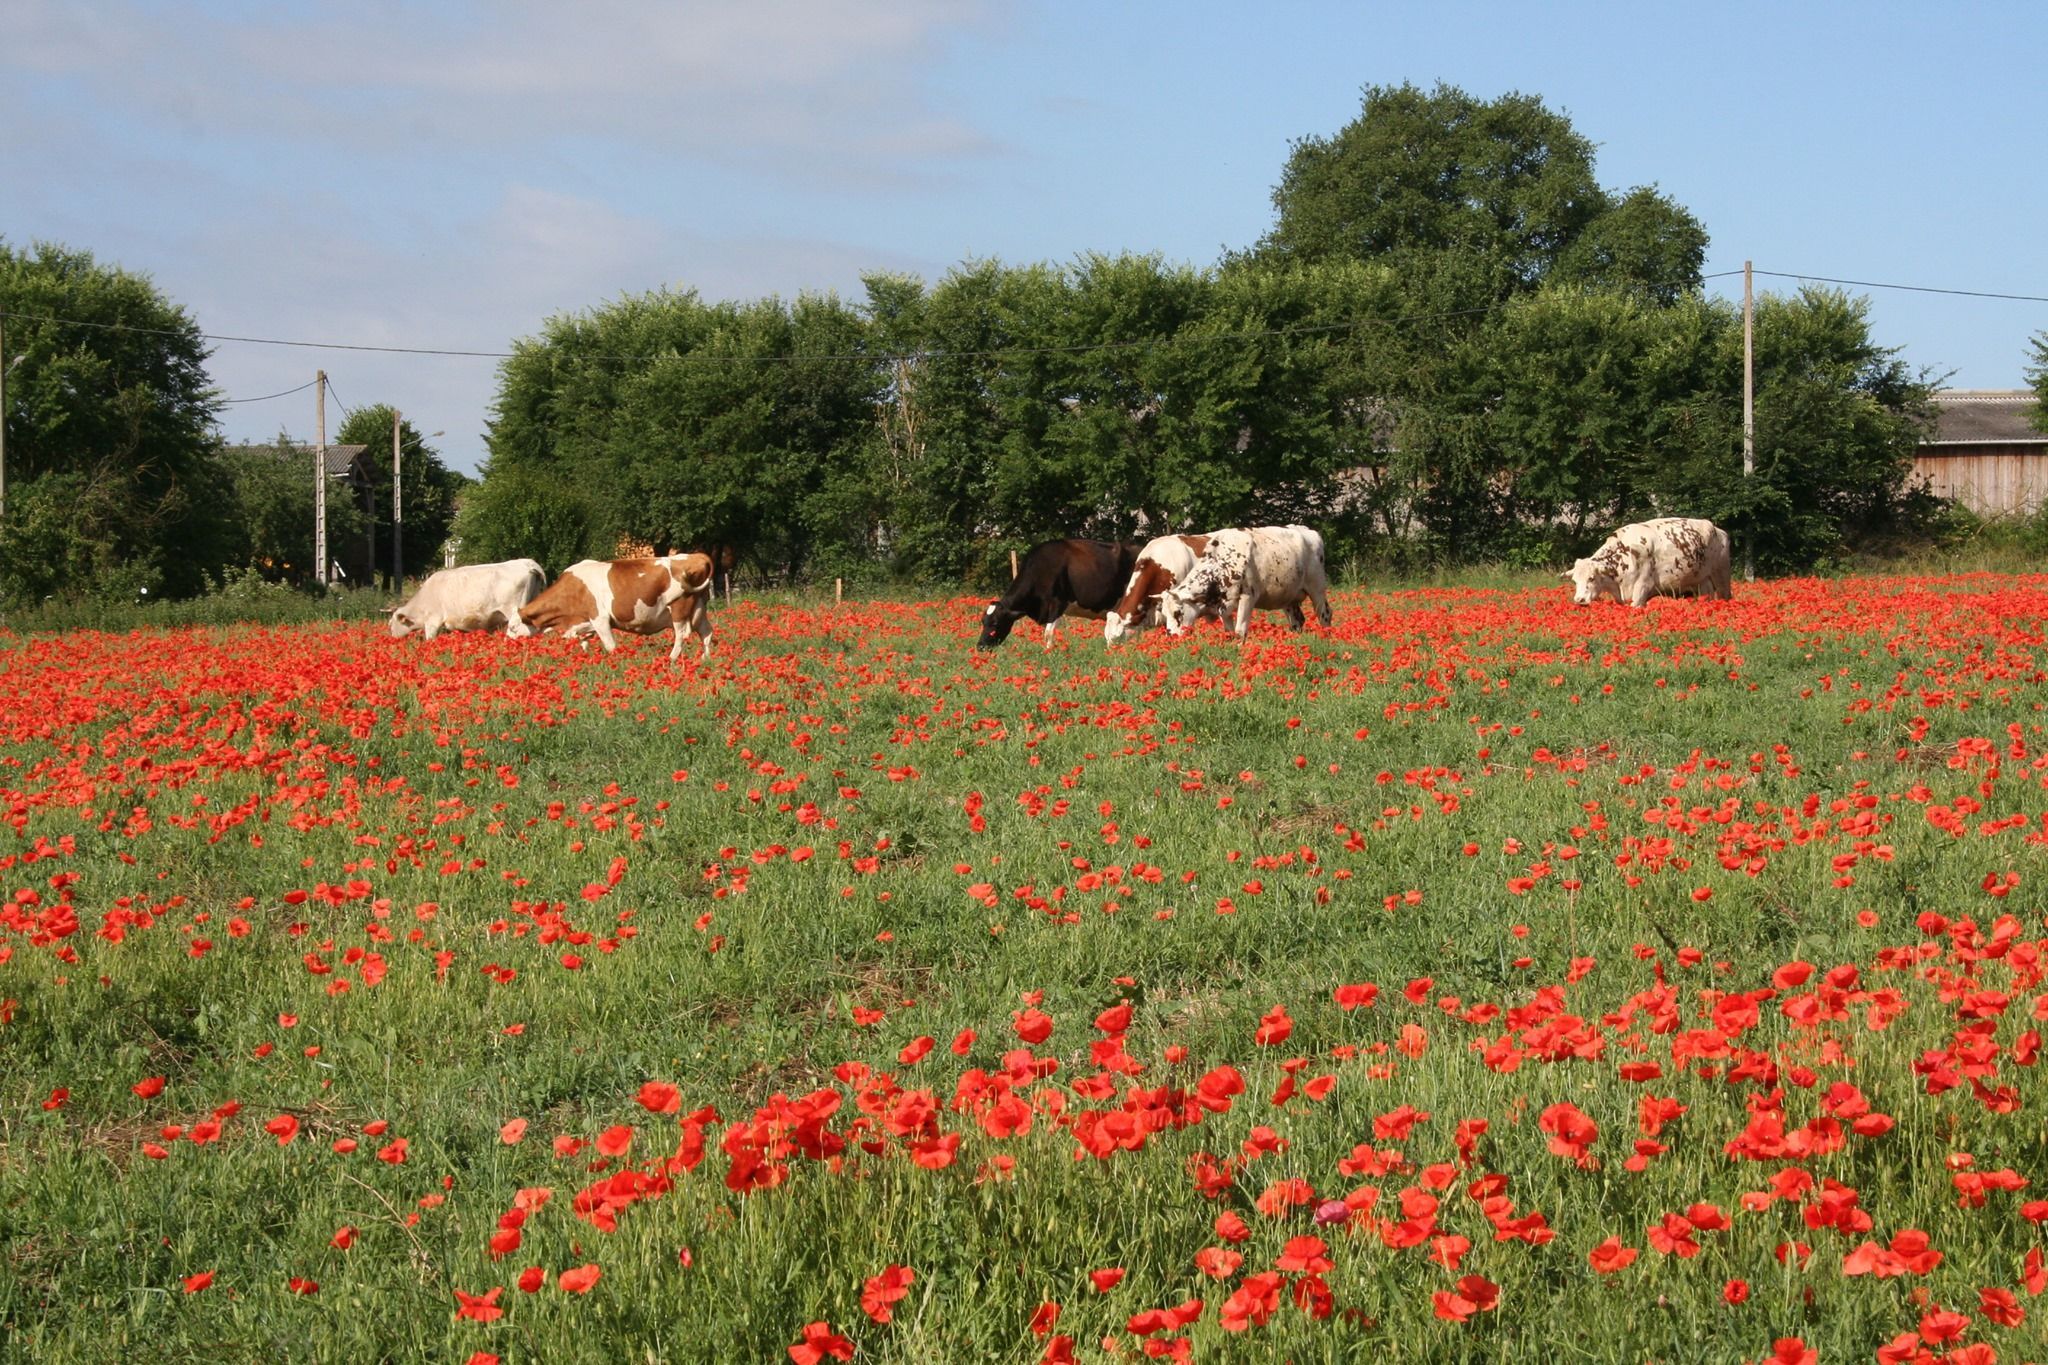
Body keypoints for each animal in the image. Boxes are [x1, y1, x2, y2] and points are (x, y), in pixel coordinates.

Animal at [520, 552, 720, 663]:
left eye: (514, 627)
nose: (512, 642)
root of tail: (695, 556)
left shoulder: (600, 619)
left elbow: (610, 645)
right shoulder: (584, 622)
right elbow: (584, 641)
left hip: (679, 607)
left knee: (681, 635)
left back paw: (670, 659)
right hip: (699, 609)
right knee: (706, 631)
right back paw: (706, 658)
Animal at [970, 540, 1138, 650]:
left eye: (995, 623)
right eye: (982, 621)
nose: (980, 646)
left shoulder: (1057, 603)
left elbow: (1048, 633)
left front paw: (1049, 653)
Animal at [1163, 527, 1335, 646]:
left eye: (1178, 612)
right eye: (1164, 614)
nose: (1170, 636)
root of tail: (1308, 531)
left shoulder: (1248, 596)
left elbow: (1240, 630)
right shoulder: (1223, 604)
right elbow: (1229, 632)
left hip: (1317, 589)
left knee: (1324, 614)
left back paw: (1326, 638)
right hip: (1289, 597)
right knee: (1297, 621)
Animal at [1564, 517, 1728, 609]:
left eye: (1591, 578)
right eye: (1574, 581)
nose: (1579, 600)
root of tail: (1718, 530)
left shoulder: (1642, 588)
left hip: (1721, 575)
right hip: (1702, 581)